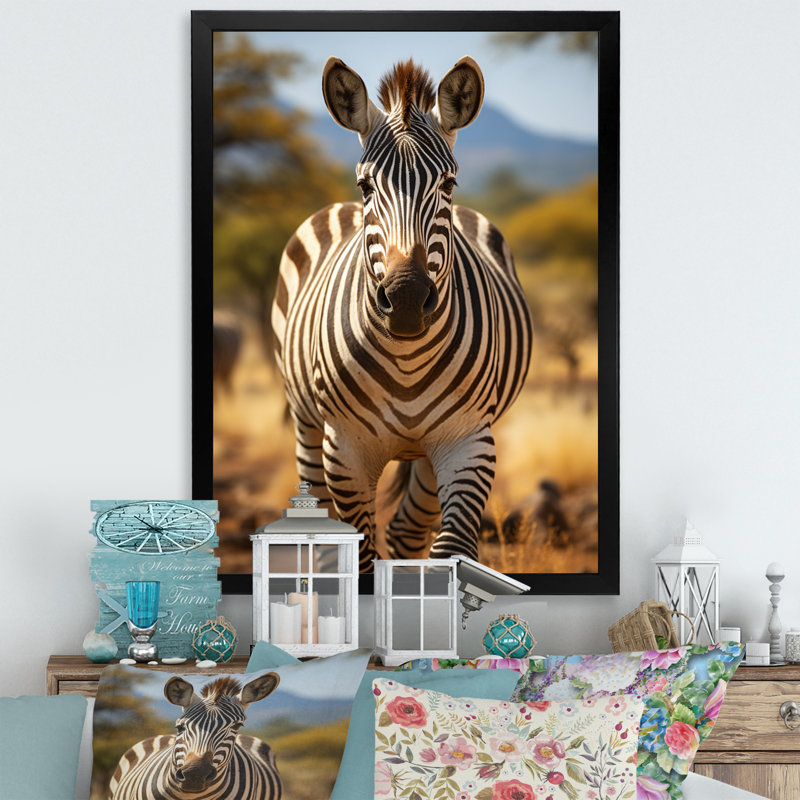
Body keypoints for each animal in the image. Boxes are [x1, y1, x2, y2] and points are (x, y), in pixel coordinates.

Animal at [272, 56, 533, 569]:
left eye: (449, 183)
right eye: (365, 184)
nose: (408, 300)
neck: (407, 360)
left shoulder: (470, 442)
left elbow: (451, 550)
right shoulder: (345, 450)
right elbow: (360, 554)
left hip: (432, 453)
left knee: (408, 529)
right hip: (307, 426)